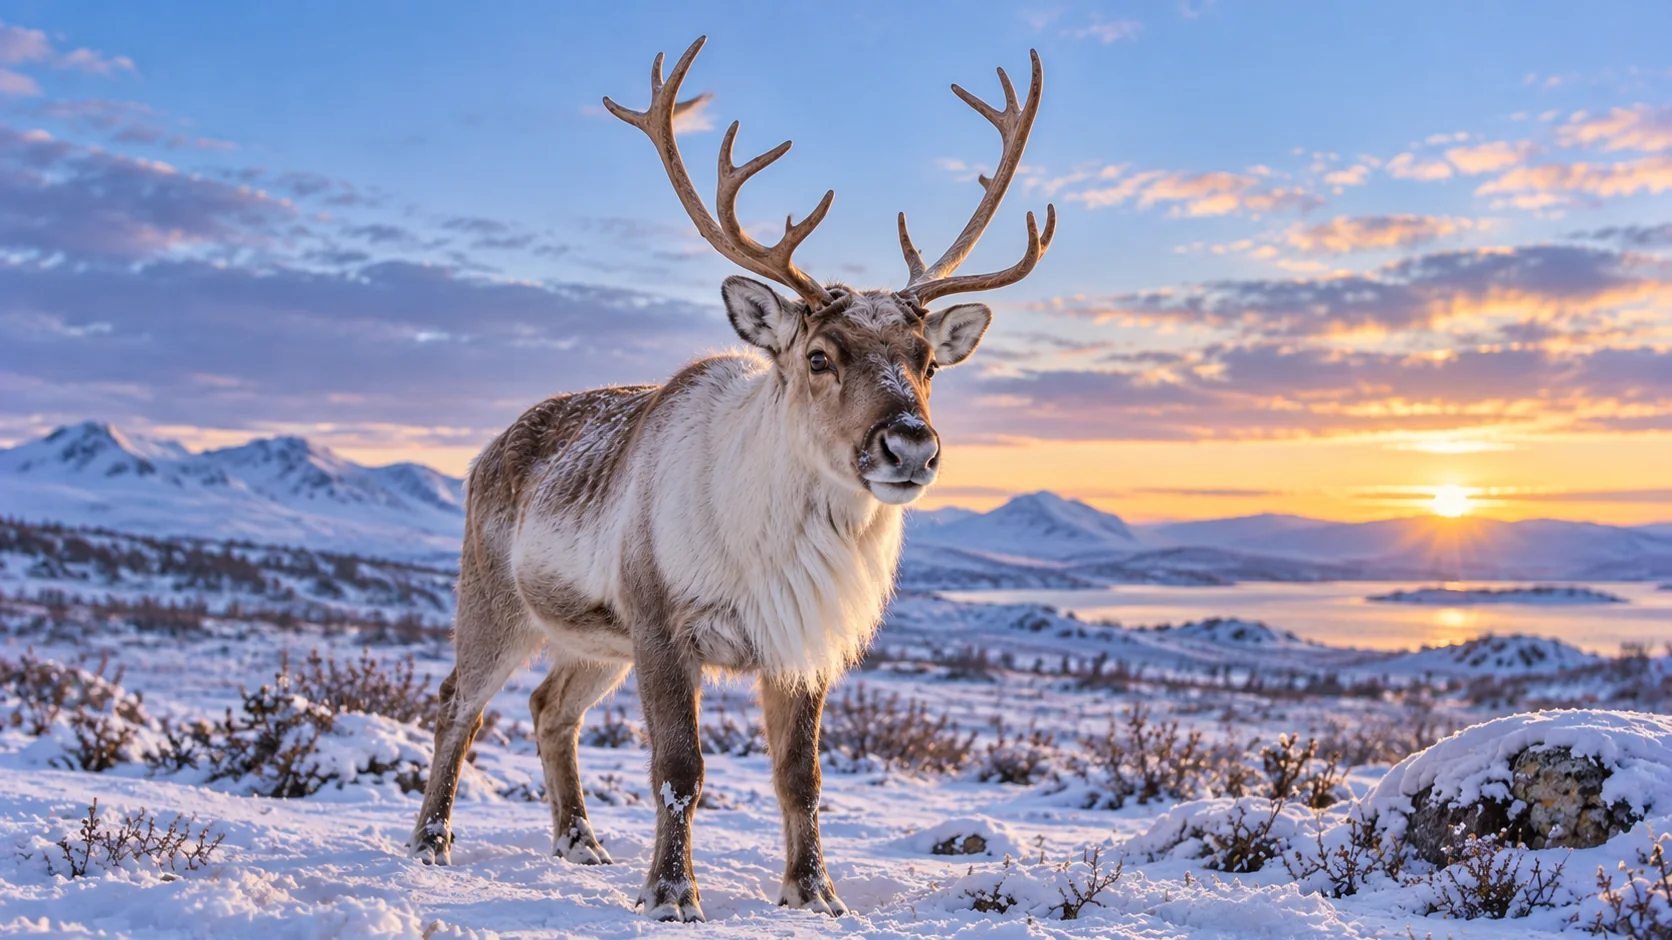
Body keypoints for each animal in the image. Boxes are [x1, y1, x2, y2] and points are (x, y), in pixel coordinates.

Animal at [408, 35, 1055, 922]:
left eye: (927, 363)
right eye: (819, 356)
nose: (911, 446)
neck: (782, 543)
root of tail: (490, 449)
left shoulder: (801, 647)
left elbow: (800, 779)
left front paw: (815, 894)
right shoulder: (661, 626)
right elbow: (679, 770)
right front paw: (673, 894)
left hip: (595, 641)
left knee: (549, 710)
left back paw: (580, 842)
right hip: (497, 603)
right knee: (457, 706)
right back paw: (431, 842)